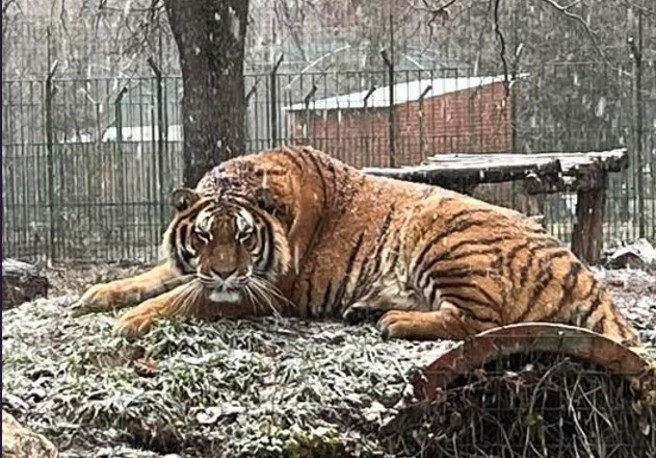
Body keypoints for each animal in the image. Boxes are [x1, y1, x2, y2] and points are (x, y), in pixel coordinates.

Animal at [76, 145, 641, 349]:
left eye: (244, 237)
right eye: (202, 236)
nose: (221, 273)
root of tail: (580, 269)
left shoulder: (265, 291)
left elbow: (181, 298)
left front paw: (132, 319)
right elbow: (155, 276)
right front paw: (100, 294)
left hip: (443, 235)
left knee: (483, 323)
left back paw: (394, 321)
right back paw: (367, 309)